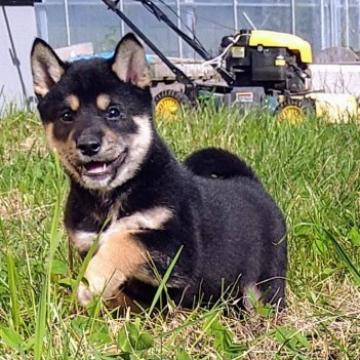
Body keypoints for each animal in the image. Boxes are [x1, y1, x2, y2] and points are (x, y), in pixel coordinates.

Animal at [30, 33, 286, 310]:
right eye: (67, 115)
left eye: (113, 112)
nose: (88, 145)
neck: (112, 197)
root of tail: (251, 182)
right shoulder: (87, 242)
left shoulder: (178, 251)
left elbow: (126, 241)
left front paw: (91, 282)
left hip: (265, 283)